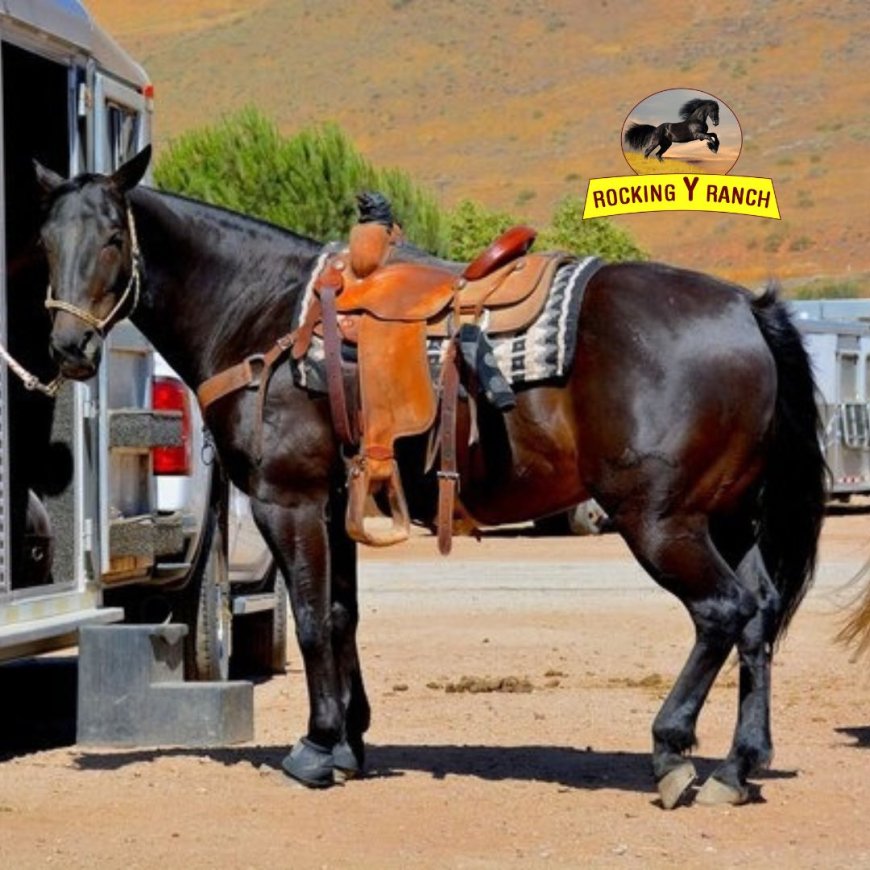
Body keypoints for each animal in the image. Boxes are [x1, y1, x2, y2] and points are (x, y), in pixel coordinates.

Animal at [34, 146, 826, 809]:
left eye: (112, 240)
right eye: (45, 241)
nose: (68, 347)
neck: (262, 315)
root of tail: (745, 308)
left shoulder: (286, 501)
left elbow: (313, 619)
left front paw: (315, 750)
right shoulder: (334, 503)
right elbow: (342, 616)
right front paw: (349, 743)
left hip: (660, 520)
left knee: (721, 611)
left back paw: (672, 751)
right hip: (727, 518)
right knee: (758, 614)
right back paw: (736, 767)